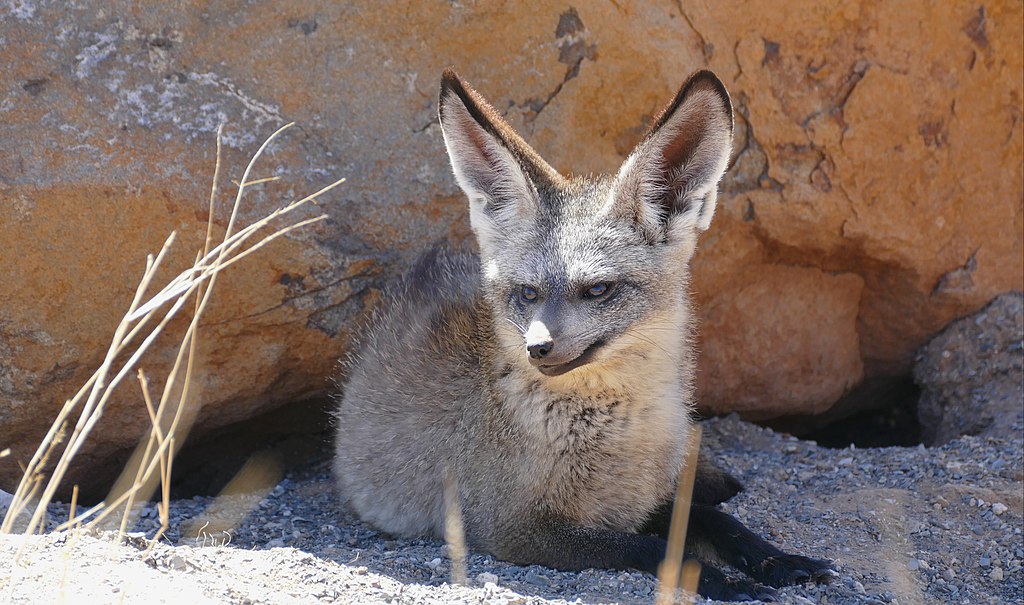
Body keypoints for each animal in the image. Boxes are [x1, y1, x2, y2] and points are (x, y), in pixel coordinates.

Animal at [332, 68, 836, 601]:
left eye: (597, 289)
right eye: (528, 293)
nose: (537, 348)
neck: (615, 446)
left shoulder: (640, 503)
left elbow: (719, 524)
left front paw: (779, 560)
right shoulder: (508, 528)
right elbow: (648, 548)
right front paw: (724, 581)